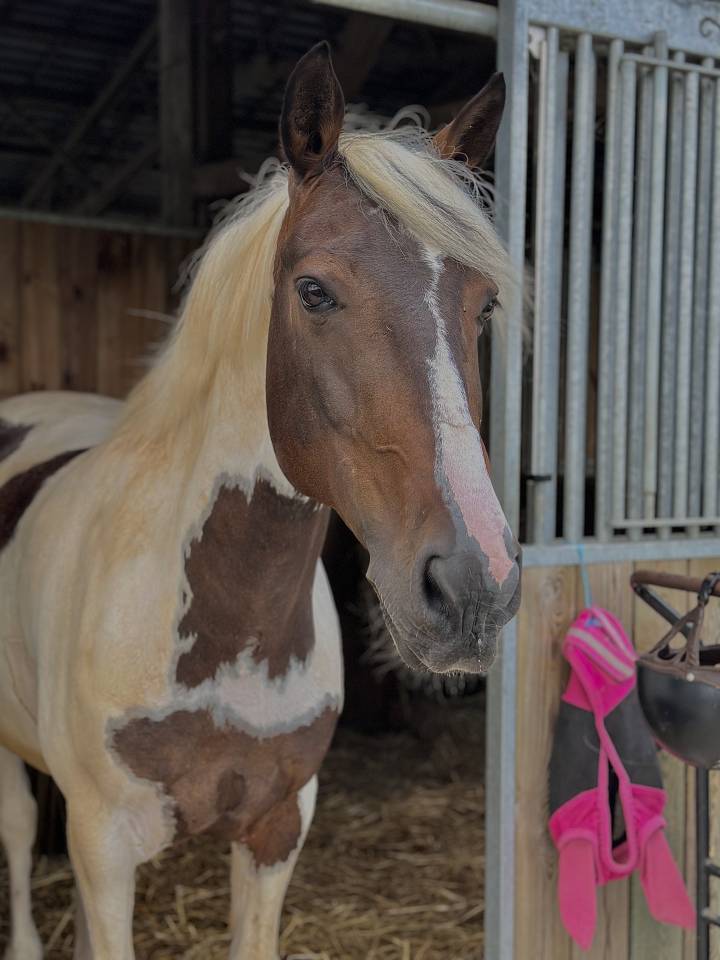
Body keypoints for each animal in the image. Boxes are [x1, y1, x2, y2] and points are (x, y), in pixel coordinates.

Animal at [0, 42, 521, 960]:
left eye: (484, 304)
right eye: (312, 291)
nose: (474, 588)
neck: (226, 624)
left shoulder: (279, 828)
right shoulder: (104, 849)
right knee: (21, 829)